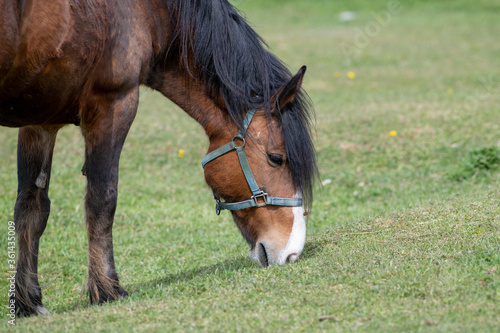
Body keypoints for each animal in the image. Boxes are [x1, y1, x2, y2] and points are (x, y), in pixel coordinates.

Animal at [0, 0, 316, 316]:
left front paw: (28, 303)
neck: (150, 13)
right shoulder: (113, 104)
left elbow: (31, 208)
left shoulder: (40, 120)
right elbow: (102, 199)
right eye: (276, 158)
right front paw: (107, 290)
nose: (292, 251)